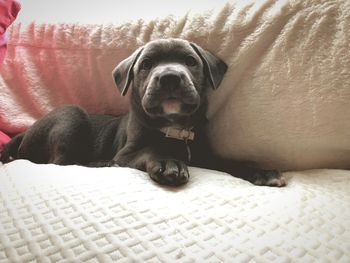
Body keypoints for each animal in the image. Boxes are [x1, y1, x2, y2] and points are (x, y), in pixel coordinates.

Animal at [0, 39, 288, 188]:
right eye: (146, 64)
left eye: (191, 62)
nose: (170, 77)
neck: (173, 129)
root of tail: (24, 133)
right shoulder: (128, 152)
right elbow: (150, 150)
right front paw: (169, 163)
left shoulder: (204, 155)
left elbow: (229, 163)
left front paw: (262, 173)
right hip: (71, 116)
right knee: (59, 162)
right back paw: (101, 163)